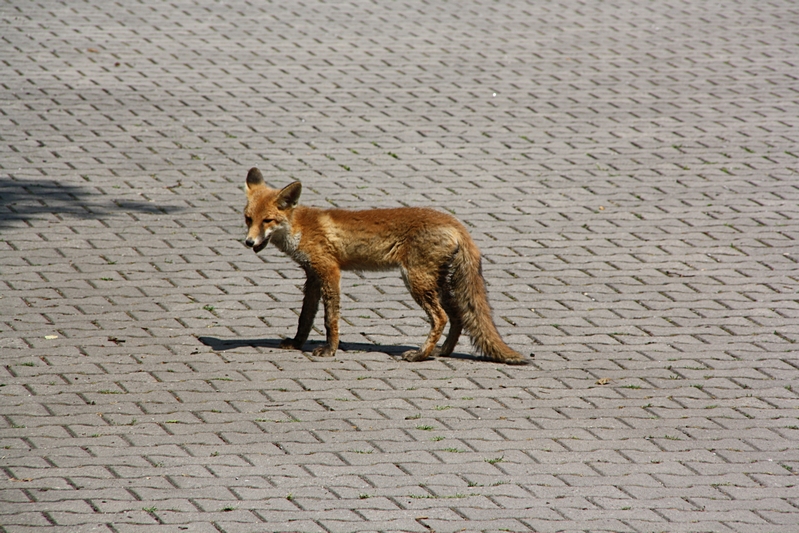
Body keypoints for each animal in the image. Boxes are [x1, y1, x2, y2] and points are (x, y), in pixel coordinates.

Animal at [243, 167, 527, 365]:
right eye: (248, 219)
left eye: (267, 220)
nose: (248, 242)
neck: (300, 228)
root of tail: (456, 223)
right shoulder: (313, 276)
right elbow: (305, 317)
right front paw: (296, 343)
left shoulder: (330, 271)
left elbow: (329, 319)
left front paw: (331, 349)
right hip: (438, 284)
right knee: (458, 317)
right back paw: (441, 352)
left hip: (416, 281)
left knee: (441, 318)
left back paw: (420, 355)